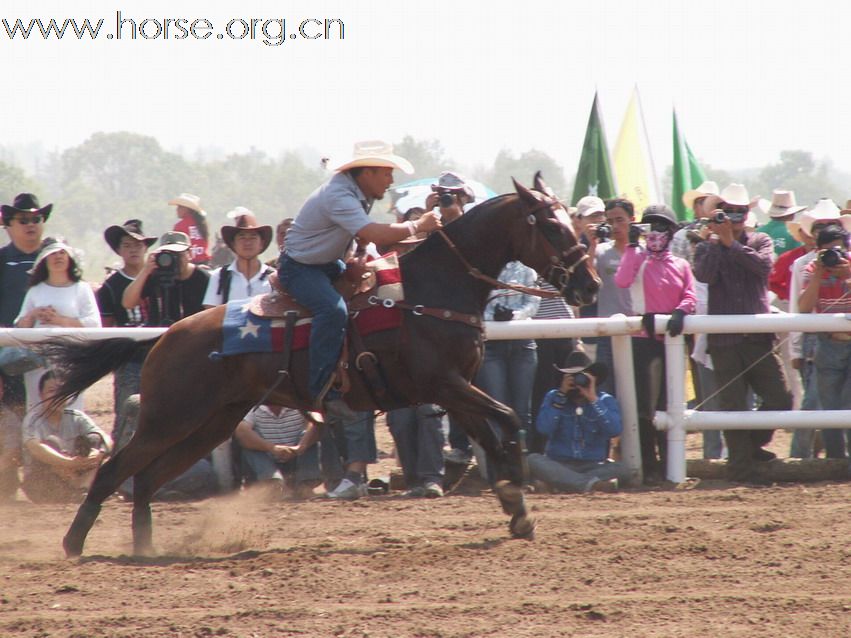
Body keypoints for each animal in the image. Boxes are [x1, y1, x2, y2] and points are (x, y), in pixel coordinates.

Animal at [45, 172, 600, 556]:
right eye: (552, 227)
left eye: (572, 221)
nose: (589, 284)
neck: (432, 291)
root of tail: (165, 337)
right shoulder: (444, 383)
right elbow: (509, 420)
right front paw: (516, 490)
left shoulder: (456, 389)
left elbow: (494, 431)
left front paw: (516, 509)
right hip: (169, 418)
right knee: (115, 470)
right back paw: (72, 545)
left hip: (209, 424)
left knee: (144, 480)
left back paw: (144, 548)